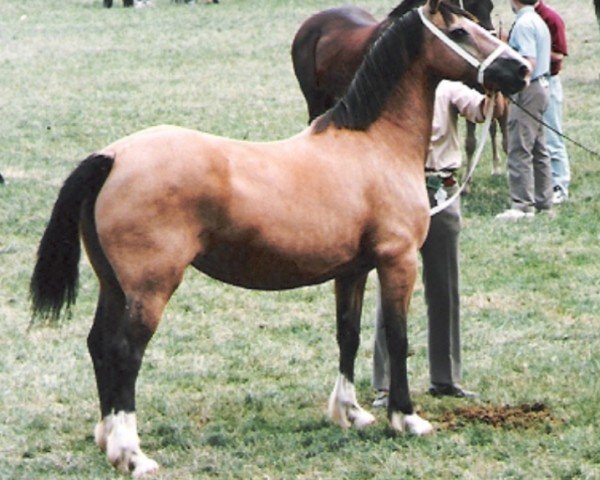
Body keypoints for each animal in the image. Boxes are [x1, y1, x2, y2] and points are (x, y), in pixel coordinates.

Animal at [30, 1, 528, 476]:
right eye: (461, 31)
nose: (520, 69)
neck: (374, 144)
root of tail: (112, 156)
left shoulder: (353, 271)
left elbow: (347, 335)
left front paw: (350, 413)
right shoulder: (398, 261)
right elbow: (400, 339)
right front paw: (406, 418)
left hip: (115, 286)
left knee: (98, 346)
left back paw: (108, 440)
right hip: (149, 289)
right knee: (124, 354)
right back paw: (132, 454)